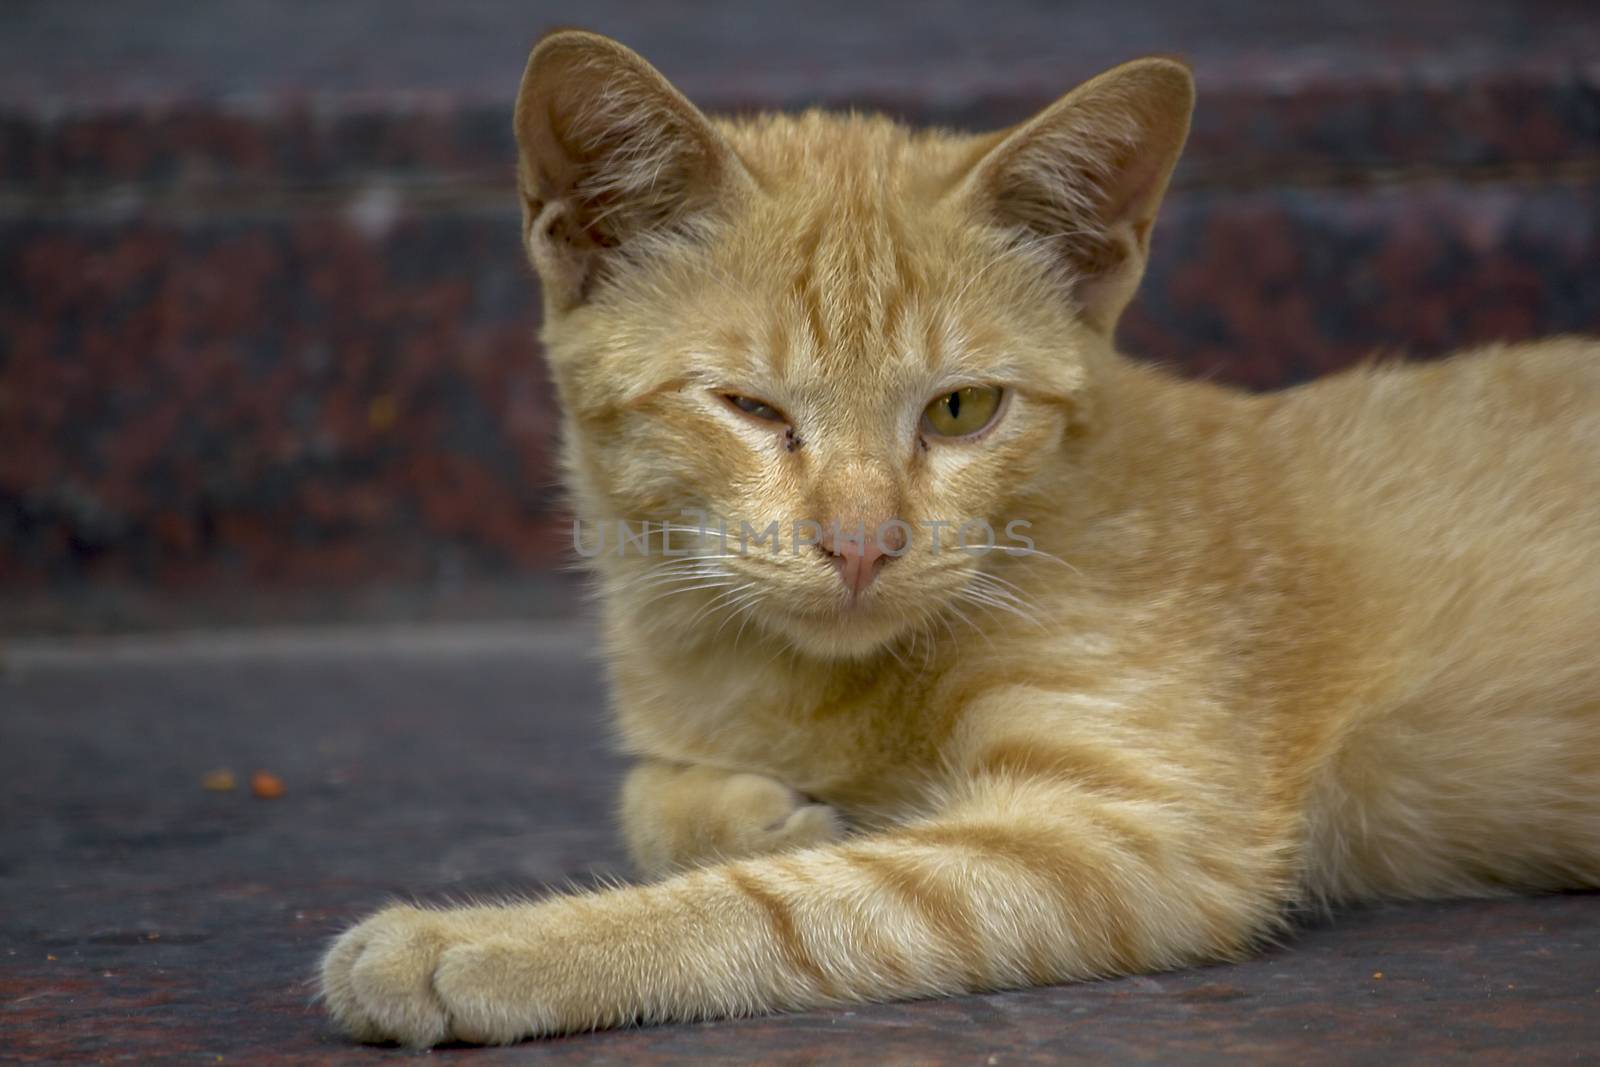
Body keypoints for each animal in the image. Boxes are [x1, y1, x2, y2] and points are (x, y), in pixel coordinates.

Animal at [318, 29, 1593, 1049]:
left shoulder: (1130, 831)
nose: (861, 542)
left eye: (961, 409)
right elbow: (653, 790)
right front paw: (753, 811)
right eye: (751, 408)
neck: (786, 677)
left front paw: (481, 948)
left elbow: (789, 902)